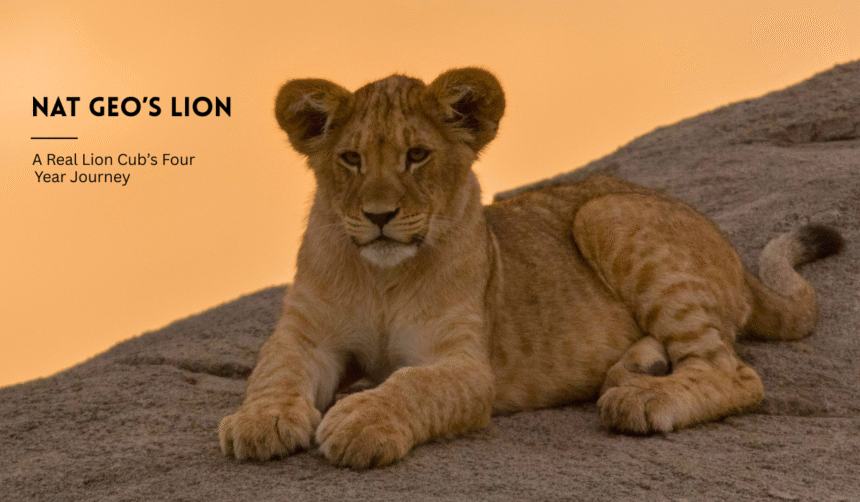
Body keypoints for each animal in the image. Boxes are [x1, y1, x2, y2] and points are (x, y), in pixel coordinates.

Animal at [218, 68, 843, 469]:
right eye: (350, 159)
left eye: (417, 156)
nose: (378, 216)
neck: (382, 275)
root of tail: (738, 260)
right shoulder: (306, 334)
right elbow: (275, 372)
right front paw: (259, 422)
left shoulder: (467, 365)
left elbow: (414, 384)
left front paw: (359, 420)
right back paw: (640, 367)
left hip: (606, 213)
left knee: (734, 372)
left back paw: (642, 398)